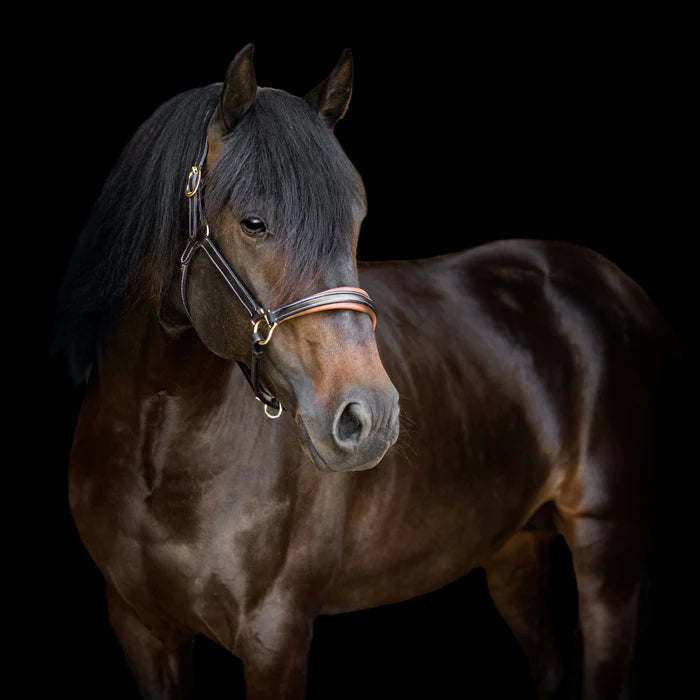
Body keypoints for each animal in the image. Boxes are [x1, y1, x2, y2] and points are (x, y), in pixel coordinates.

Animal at [54, 43, 680, 700]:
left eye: (355, 224)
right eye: (253, 222)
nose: (369, 418)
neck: (159, 451)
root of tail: (620, 289)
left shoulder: (275, 635)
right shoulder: (140, 627)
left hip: (607, 553)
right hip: (517, 550)